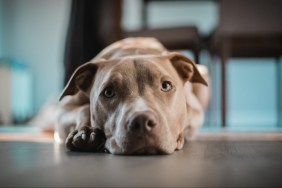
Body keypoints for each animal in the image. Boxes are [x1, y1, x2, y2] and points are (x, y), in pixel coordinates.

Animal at [53, 37, 209, 154]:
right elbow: (83, 109)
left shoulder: (196, 112)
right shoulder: (63, 111)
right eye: (108, 92)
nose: (142, 121)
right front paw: (84, 133)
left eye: (166, 86)